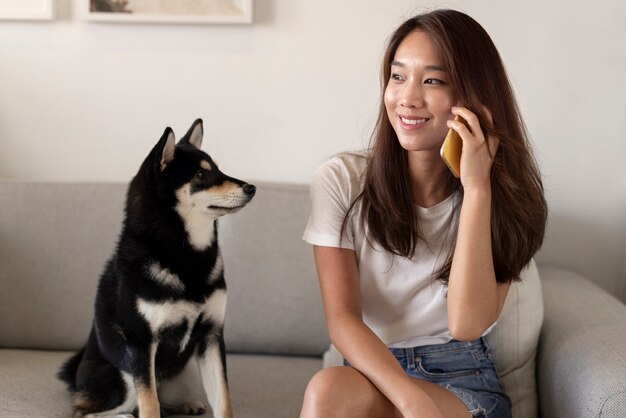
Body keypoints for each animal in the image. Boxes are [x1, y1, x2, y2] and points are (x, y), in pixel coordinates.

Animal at [58, 118, 254, 418]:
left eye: (218, 169)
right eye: (200, 174)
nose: (252, 188)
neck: (187, 256)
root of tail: (77, 373)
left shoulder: (211, 336)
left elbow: (223, 401)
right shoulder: (141, 343)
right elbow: (150, 405)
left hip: (182, 375)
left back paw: (187, 404)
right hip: (122, 380)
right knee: (92, 412)